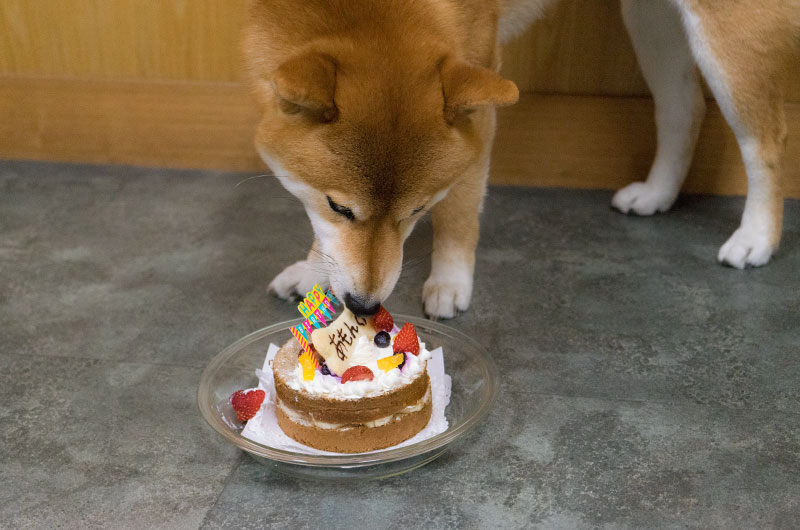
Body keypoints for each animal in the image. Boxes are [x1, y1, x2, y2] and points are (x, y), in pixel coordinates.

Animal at [244, 0, 800, 316]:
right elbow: (329, 238)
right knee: (683, 108)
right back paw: (658, 193)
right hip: (651, 21)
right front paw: (314, 270)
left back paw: (756, 237)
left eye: (418, 211)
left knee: (767, 142)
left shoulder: (479, 85)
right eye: (339, 207)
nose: (363, 305)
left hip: (727, 38)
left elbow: (460, 210)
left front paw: (449, 281)